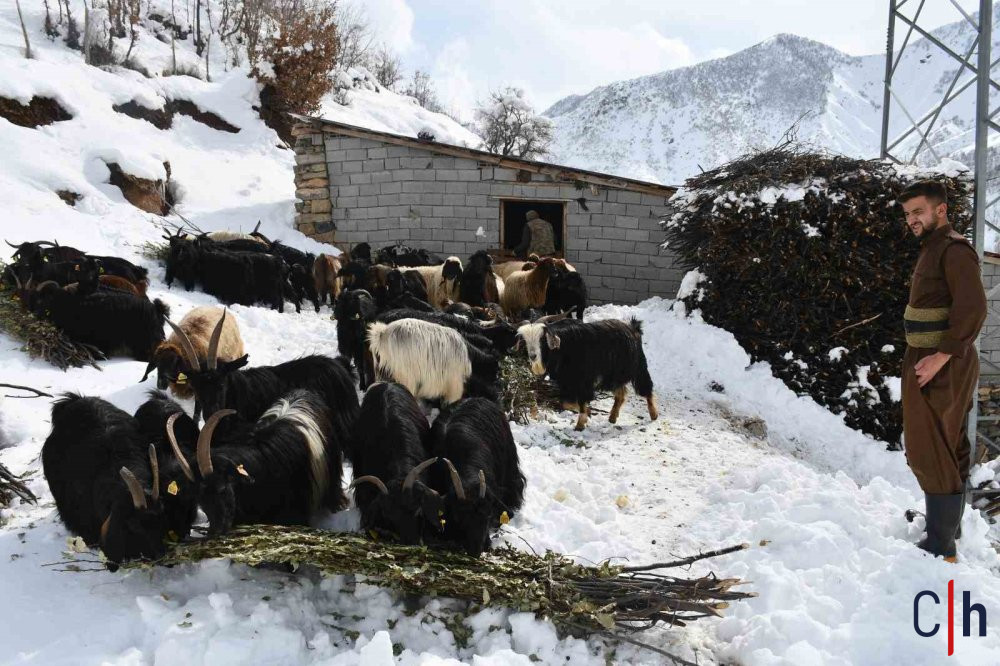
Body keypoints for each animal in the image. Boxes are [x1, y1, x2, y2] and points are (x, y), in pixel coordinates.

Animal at [516, 318, 656, 430]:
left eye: (542, 339)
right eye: (525, 341)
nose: (533, 356)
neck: (564, 348)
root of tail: (633, 328)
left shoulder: (584, 382)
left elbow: (582, 401)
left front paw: (580, 425)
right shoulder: (567, 382)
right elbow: (567, 403)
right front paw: (587, 414)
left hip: (637, 368)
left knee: (646, 387)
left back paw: (654, 415)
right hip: (612, 376)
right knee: (621, 393)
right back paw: (612, 417)